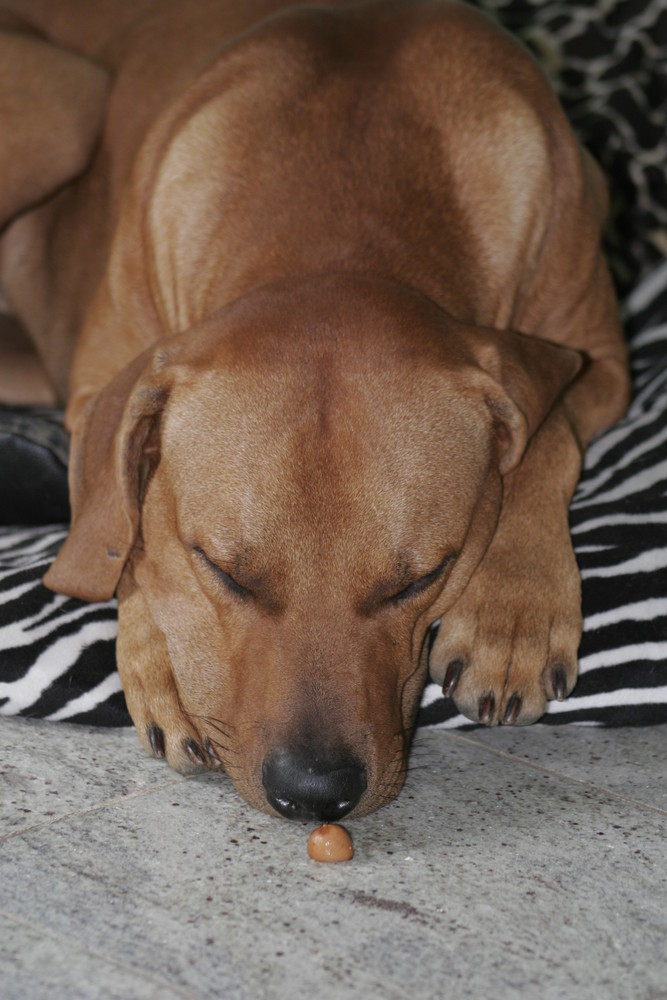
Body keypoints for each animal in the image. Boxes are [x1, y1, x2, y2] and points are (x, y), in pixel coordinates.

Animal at [0, 0, 632, 820]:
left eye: (419, 580)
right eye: (225, 573)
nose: (314, 790)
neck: (345, 196)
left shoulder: (600, 360)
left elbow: (548, 432)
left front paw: (511, 610)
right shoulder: (102, 387)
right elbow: (124, 524)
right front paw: (168, 659)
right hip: (64, 106)